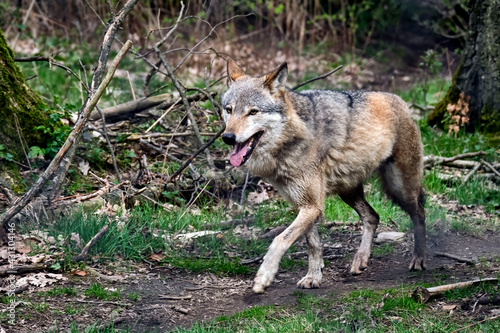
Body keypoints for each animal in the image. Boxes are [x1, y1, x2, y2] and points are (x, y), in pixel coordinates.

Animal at [222, 58, 426, 292]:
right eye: (229, 110)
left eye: (253, 112)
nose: (228, 137)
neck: (291, 139)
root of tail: (399, 100)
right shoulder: (305, 205)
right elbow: (313, 244)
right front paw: (313, 276)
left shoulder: (312, 206)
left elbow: (279, 240)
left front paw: (264, 276)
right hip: (348, 192)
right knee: (373, 217)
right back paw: (360, 259)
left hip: (400, 188)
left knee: (419, 213)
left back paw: (419, 259)